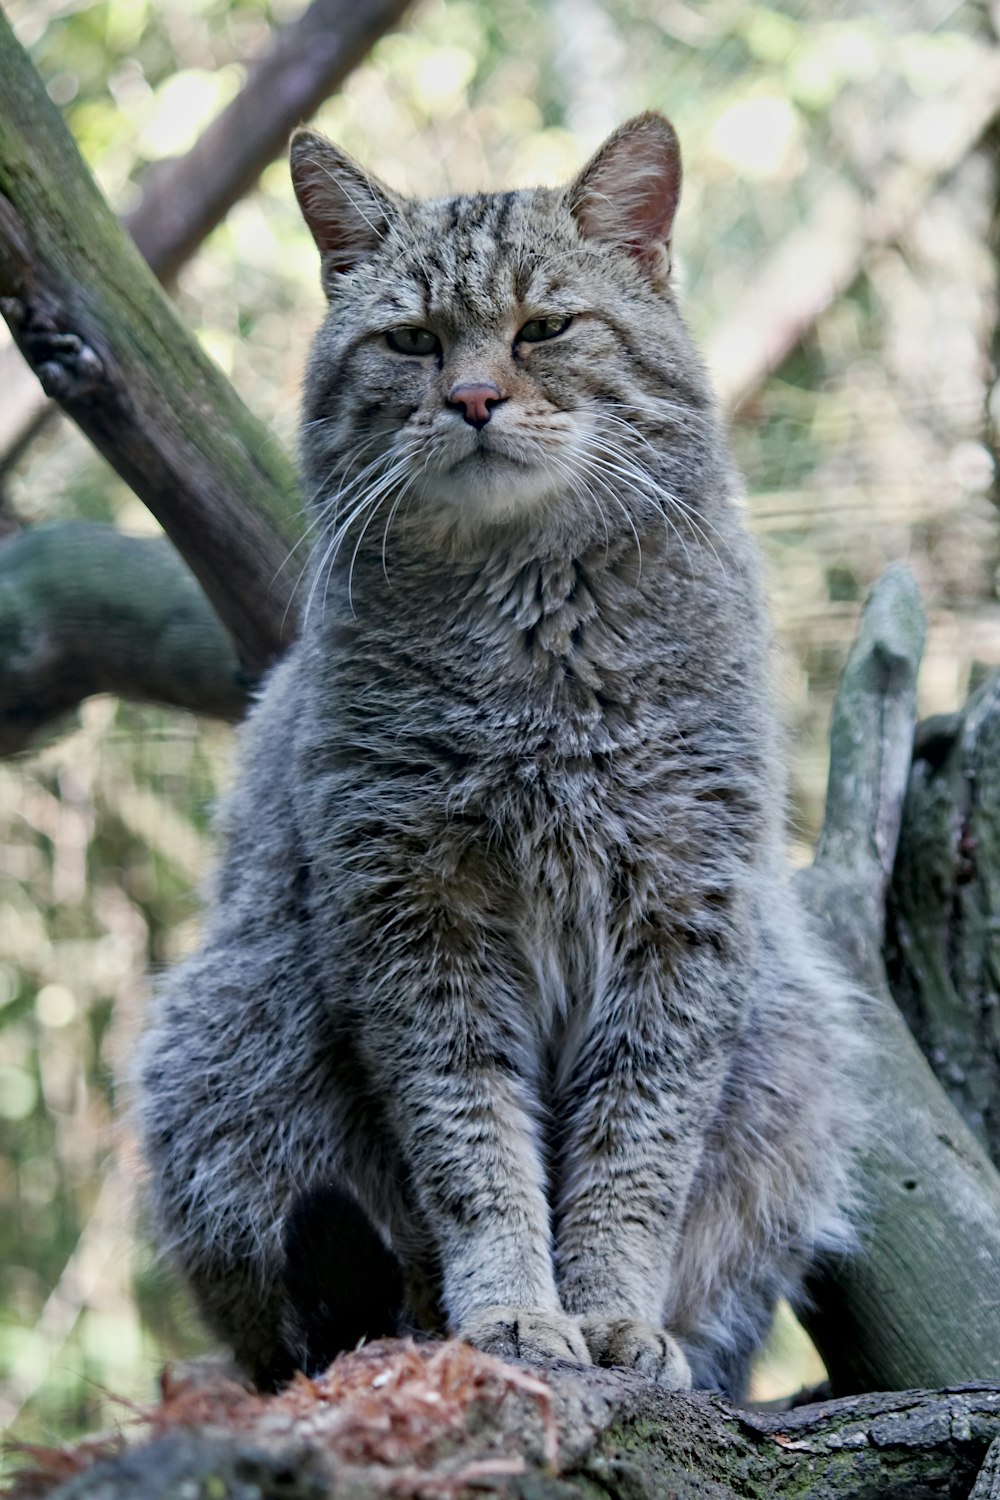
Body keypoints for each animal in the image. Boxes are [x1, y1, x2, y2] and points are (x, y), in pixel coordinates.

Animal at [138, 111, 863, 1398]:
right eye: (412, 340)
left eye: (544, 328)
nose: (473, 396)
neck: (536, 638)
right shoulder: (414, 924)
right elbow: (474, 1150)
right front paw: (516, 1309)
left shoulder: (683, 918)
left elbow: (634, 1160)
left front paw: (615, 1315)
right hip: (228, 1037)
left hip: (800, 1051)